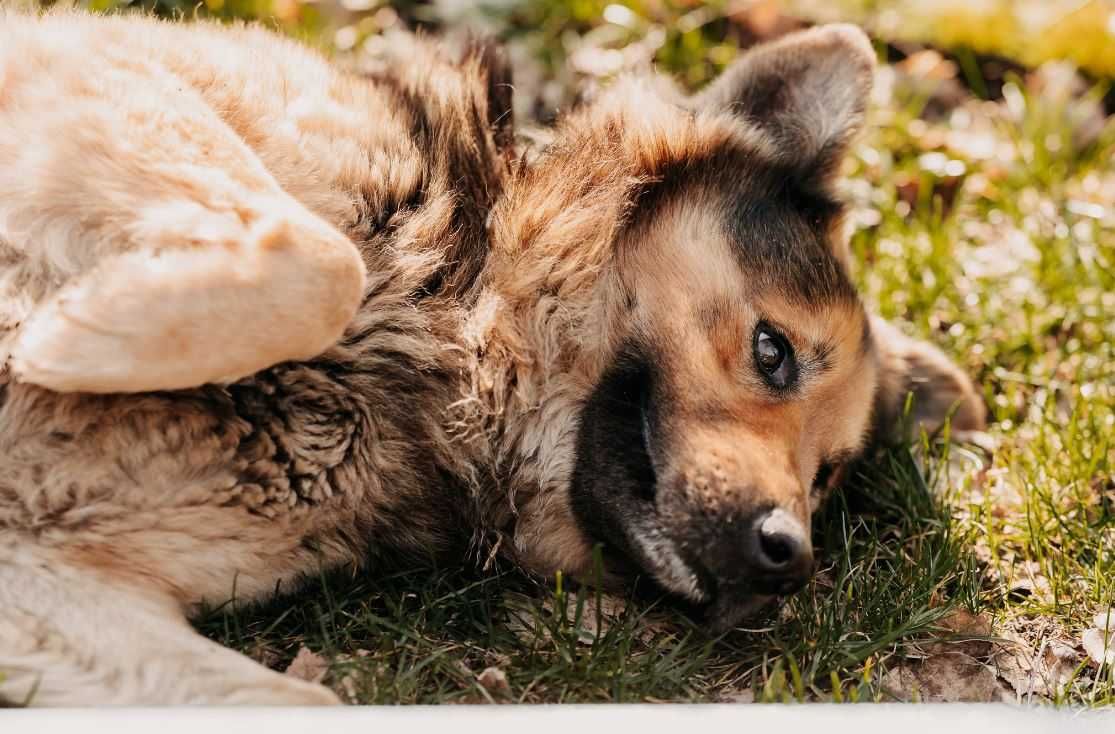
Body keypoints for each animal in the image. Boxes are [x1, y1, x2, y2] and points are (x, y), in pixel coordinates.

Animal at [0, 8, 985, 700]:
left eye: (826, 476)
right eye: (773, 352)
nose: (788, 557)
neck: (444, 331)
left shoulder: (47, 575)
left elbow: (291, 702)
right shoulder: (98, 74)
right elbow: (321, 264)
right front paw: (67, 333)